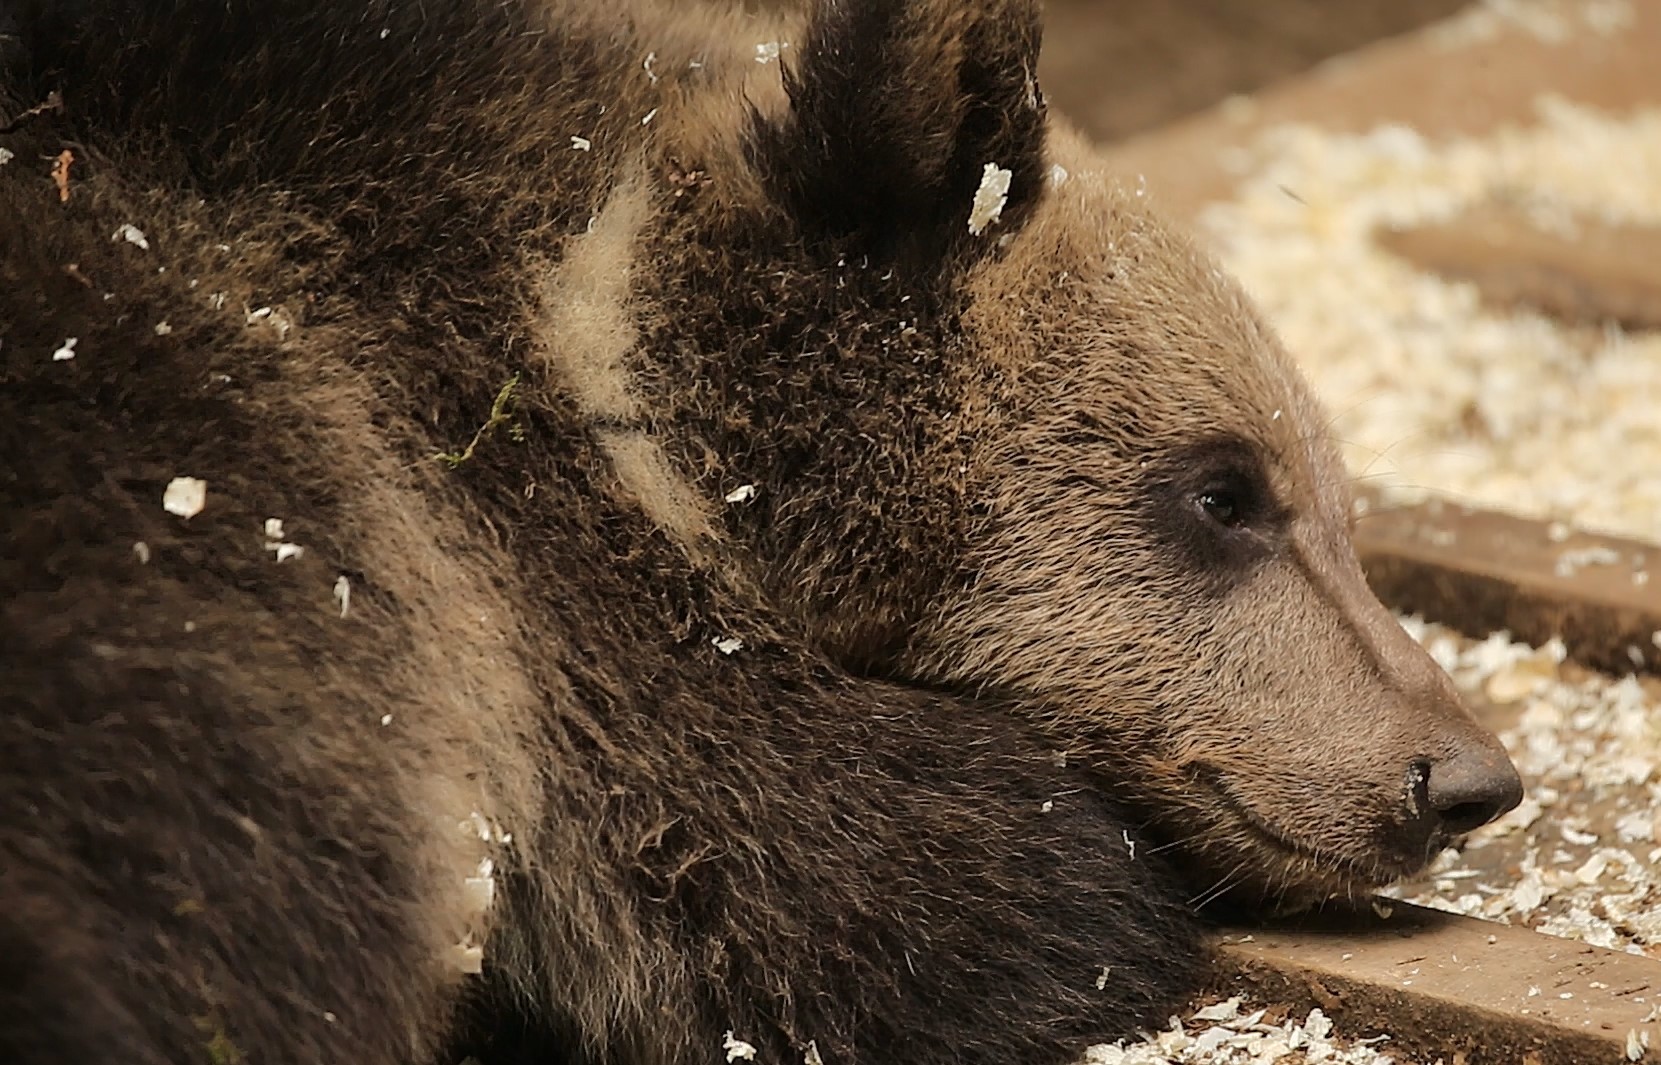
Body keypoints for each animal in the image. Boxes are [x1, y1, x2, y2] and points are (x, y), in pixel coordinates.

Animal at [0, 2, 1521, 1063]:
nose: (1459, 778)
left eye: (1336, 502)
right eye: (1222, 493)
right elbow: (824, 876)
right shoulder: (522, 584)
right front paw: (1074, 883)